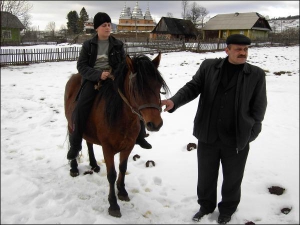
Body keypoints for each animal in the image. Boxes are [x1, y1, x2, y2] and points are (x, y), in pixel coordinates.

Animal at [63, 51, 170, 217]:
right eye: (136, 89)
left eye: (158, 86)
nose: (155, 124)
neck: (120, 116)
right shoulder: (108, 148)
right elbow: (111, 174)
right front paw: (113, 204)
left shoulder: (128, 146)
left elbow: (123, 168)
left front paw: (122, 191)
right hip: (71, 123)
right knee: (75, 140)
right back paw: (74, 167)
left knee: (89, 142)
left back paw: (94, 164)